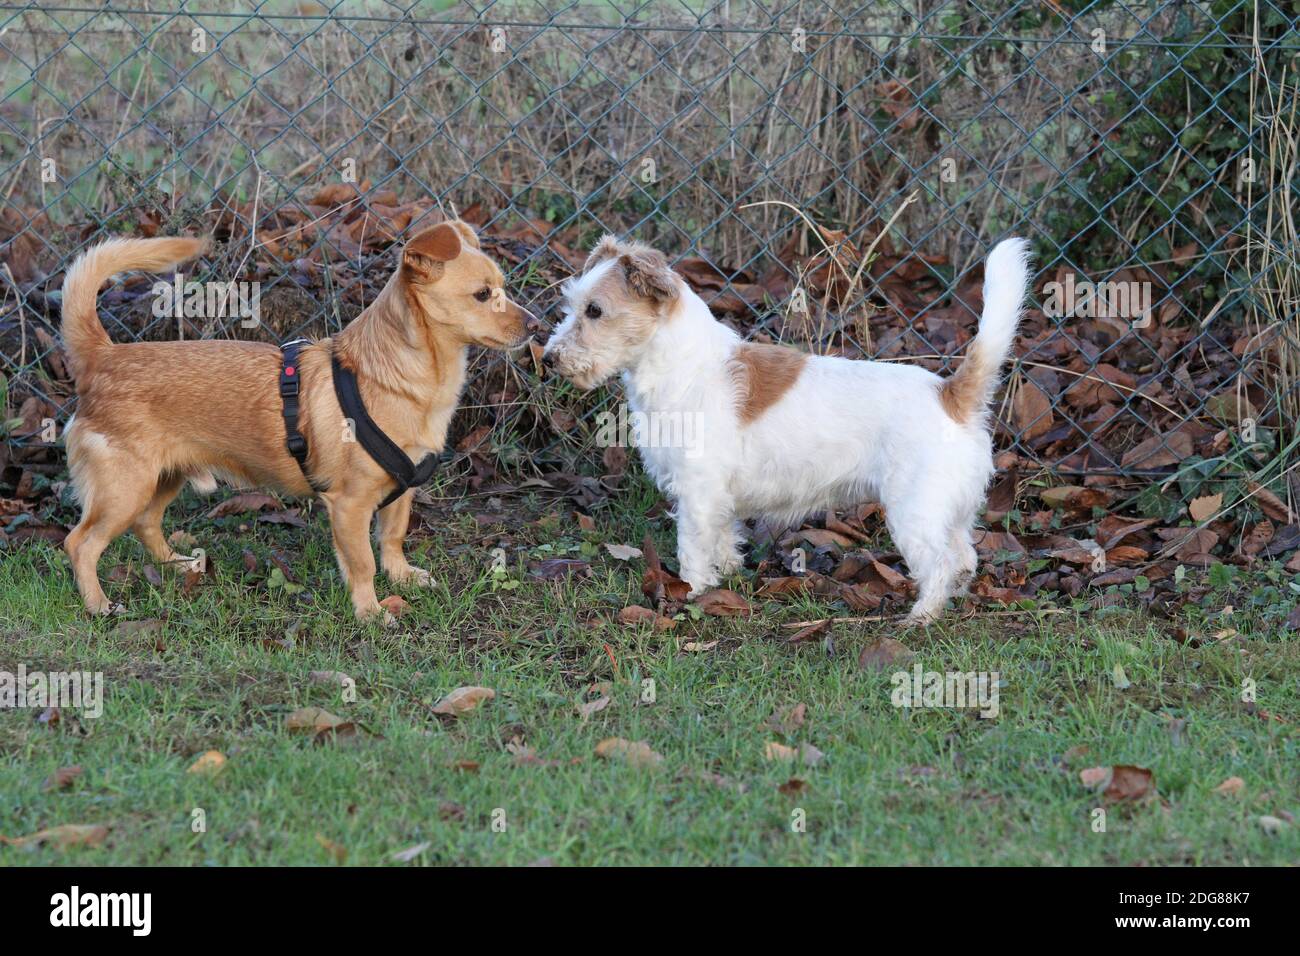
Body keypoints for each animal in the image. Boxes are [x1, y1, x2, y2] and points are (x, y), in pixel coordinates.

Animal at [61, 218, 527, 621]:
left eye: (503, 289)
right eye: (483, 294)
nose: (536, 325)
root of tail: (104, 357)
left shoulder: (402, 489)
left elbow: (392, 538)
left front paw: (402, 577)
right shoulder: (349, 505)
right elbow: (363, 563)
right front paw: (370, 612)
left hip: (163, 478)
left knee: (146, 524)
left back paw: (178, 565)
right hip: (125, 488)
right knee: (81, 543)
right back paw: (98, 604)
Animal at [543, 235, 1029, 624]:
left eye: (595, 310)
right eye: (571, 306)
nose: (548, 358)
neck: (685, 364)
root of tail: (951, 395)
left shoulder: (697, 493)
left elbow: (693, 548)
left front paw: (692, 591)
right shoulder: (717, 498)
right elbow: (724, 539)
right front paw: (727, 574)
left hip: (915, 513)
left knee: (941, 564)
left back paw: (921, 616)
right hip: (952, 511)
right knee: (965, 557)